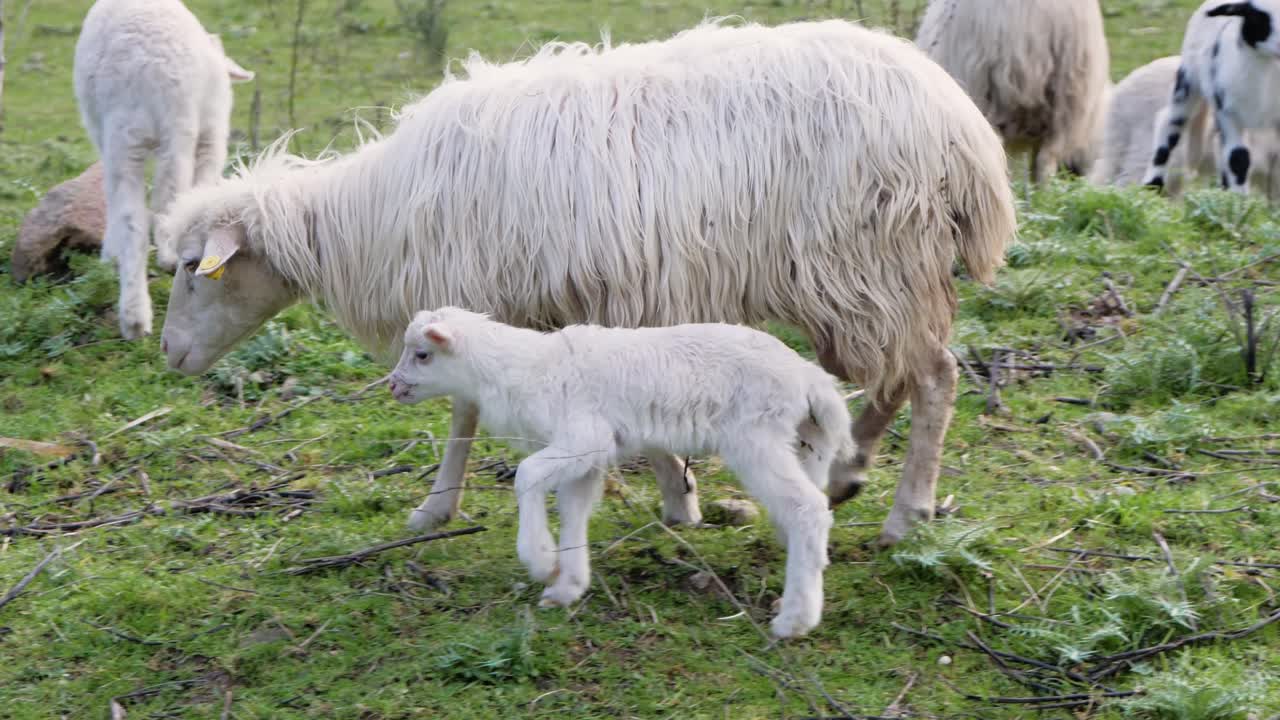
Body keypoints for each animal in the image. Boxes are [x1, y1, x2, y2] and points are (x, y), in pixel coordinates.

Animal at [73, 0, 254, 339]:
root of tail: (142, 67)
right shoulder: (211, 135)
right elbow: (203, 184)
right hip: (176, 125)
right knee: (169, 195)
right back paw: (167, 259)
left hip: (122, 136)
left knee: (130, 218)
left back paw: (134, 317)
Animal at [156, 18, 1017, 547]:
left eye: (196, 272)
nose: (167, 356)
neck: (369, 219)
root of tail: (961, 126)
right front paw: (679, 494)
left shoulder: (490, 297)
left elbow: (464, 414)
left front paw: (436, 505)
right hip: (864, 281)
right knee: (899, 377)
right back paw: (847, 471)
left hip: (869, 264)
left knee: (932, 376)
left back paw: (907, 510)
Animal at [388, 307, 853, 637]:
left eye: (422, 355)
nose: (392, 385)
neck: (517, 368)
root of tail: (811, 380)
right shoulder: (587, 455)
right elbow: (573, 511)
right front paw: (566, 585)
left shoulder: (583, 435)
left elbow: (527, 475)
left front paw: (540, 559)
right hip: (804, 442)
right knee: (809, 509)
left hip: (755, 437)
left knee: (807, 508)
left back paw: (794, 620)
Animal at [1142, 1, 1280, 194]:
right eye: (1256, 16)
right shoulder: (1228, 113)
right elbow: (1238, 159)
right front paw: (1239, 201)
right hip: (1188, 80)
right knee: (1170, 124)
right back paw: (1152, 186)